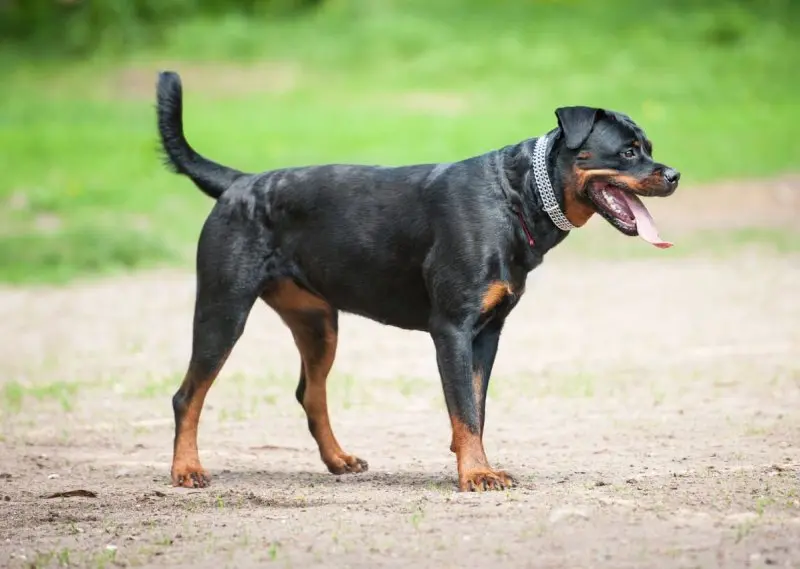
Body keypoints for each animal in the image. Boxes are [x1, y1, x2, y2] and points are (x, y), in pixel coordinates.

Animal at [156, 70, 680, 488]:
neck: (517, 196)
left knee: (310, 393)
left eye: (649, 149)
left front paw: (474, 463)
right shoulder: (452, 328)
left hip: (319, 324)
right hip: (224, 308)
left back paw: (338, 459)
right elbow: (464, 407)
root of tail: (239, 183)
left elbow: (475, 407)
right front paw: (476, 474)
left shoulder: (488, 332)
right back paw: (187, 469)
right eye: (628, 151)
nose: (674, 173)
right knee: (188, 395)